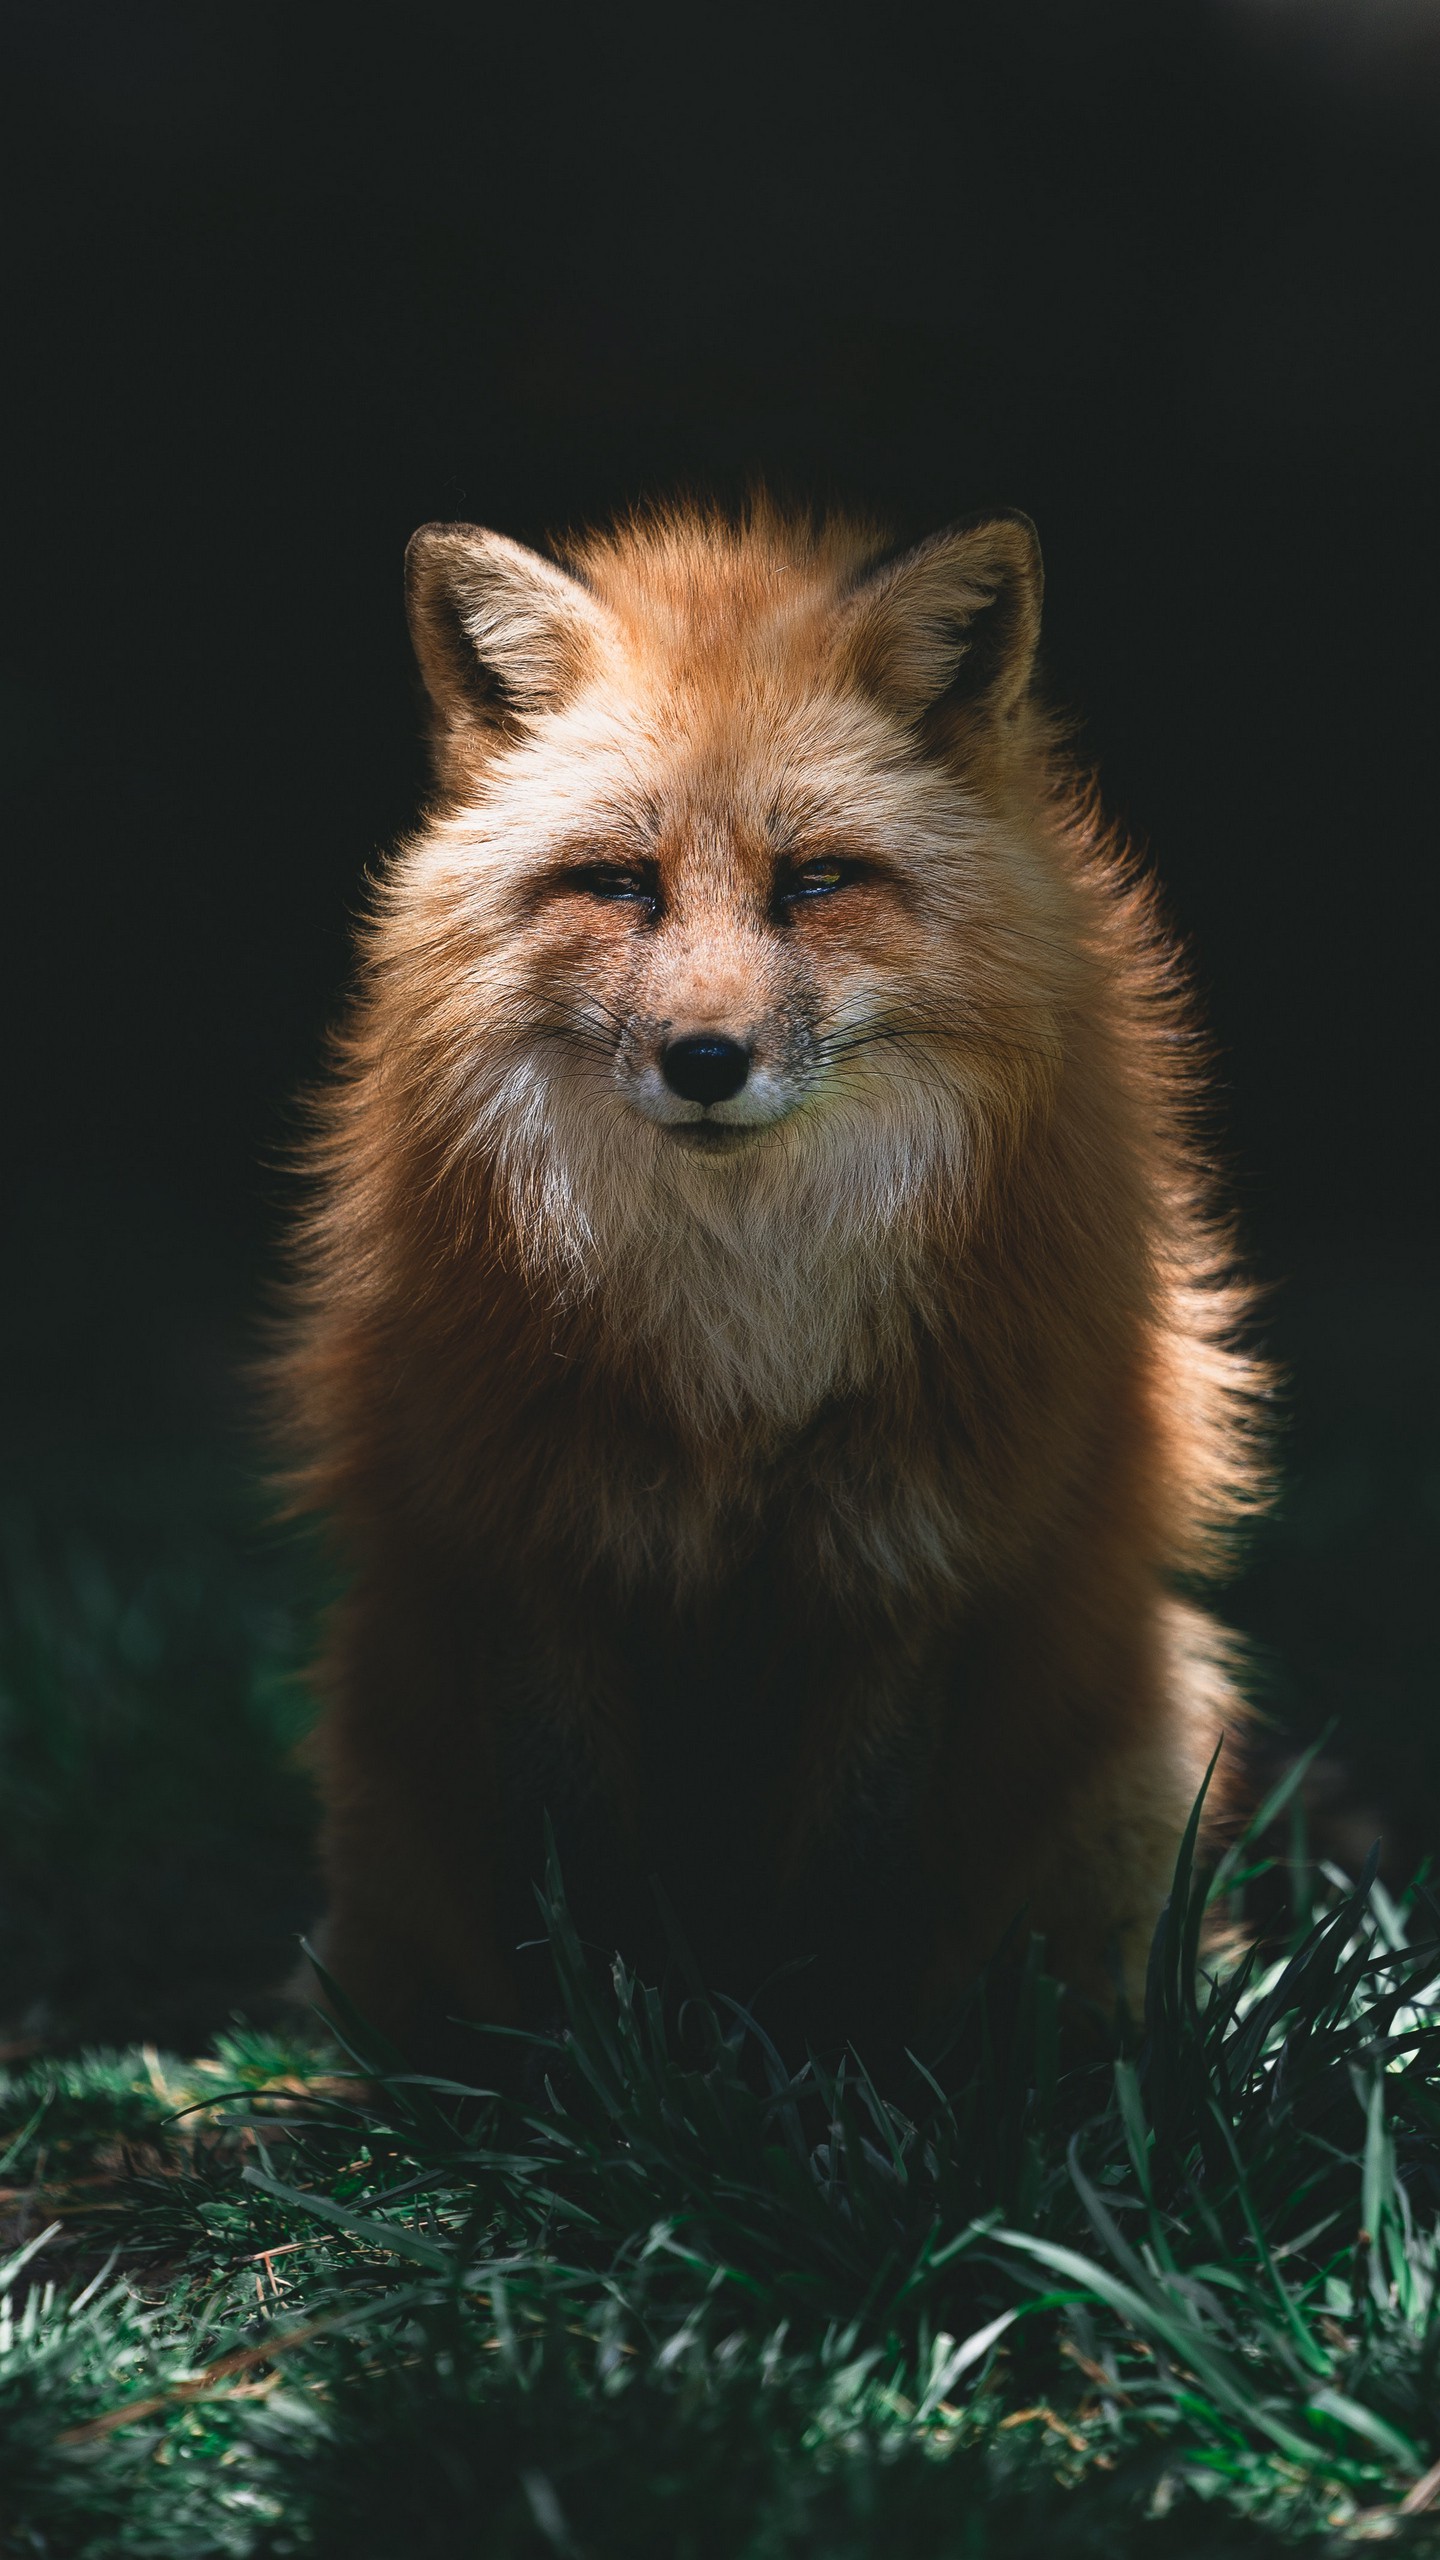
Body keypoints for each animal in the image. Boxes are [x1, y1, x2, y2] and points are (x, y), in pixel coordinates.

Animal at [279, 498, 1263, 2069]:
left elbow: (852, 1882)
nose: (705, 1062)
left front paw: (833, 2080)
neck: (743, 1336)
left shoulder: (910, 1552)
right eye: (621, 883)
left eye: (816, 882)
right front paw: (597, 2077)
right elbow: (581, 1874)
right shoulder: (536, 1539)